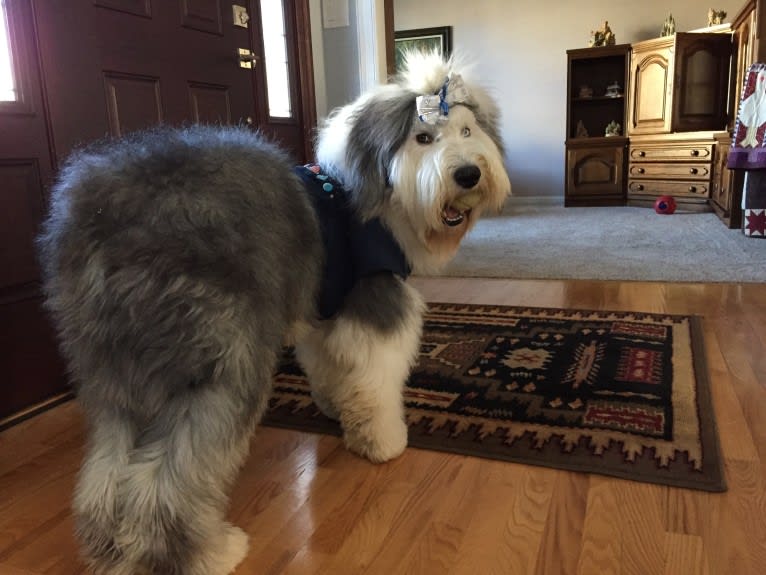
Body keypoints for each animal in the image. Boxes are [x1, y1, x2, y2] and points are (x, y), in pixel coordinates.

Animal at [39, 51, 512, 572]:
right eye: (423, 138)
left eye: (467, 131)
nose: (468, 174)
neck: (379, 194)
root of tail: (102, 215)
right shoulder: (372, 297)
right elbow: (376, 380)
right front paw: (382, 441)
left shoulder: (325, 307)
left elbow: (330, 366)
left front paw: (335, 407)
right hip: (220, 359)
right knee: (167, 474)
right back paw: (207, 553)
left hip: (113, 366)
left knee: (109, 464)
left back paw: (111, 551)